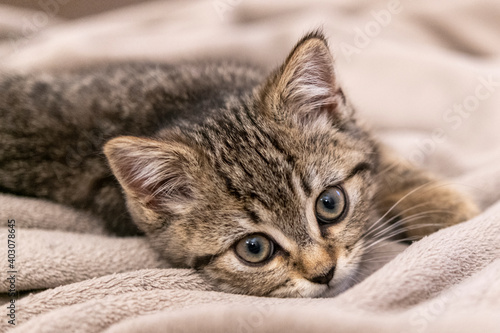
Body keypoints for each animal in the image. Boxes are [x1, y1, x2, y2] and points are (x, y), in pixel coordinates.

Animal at [0, 31, 476, 296]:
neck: (187, 107)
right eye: (254, 249)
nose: (324, 274)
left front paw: (446, 212)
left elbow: (381, 155)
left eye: (330, 204)